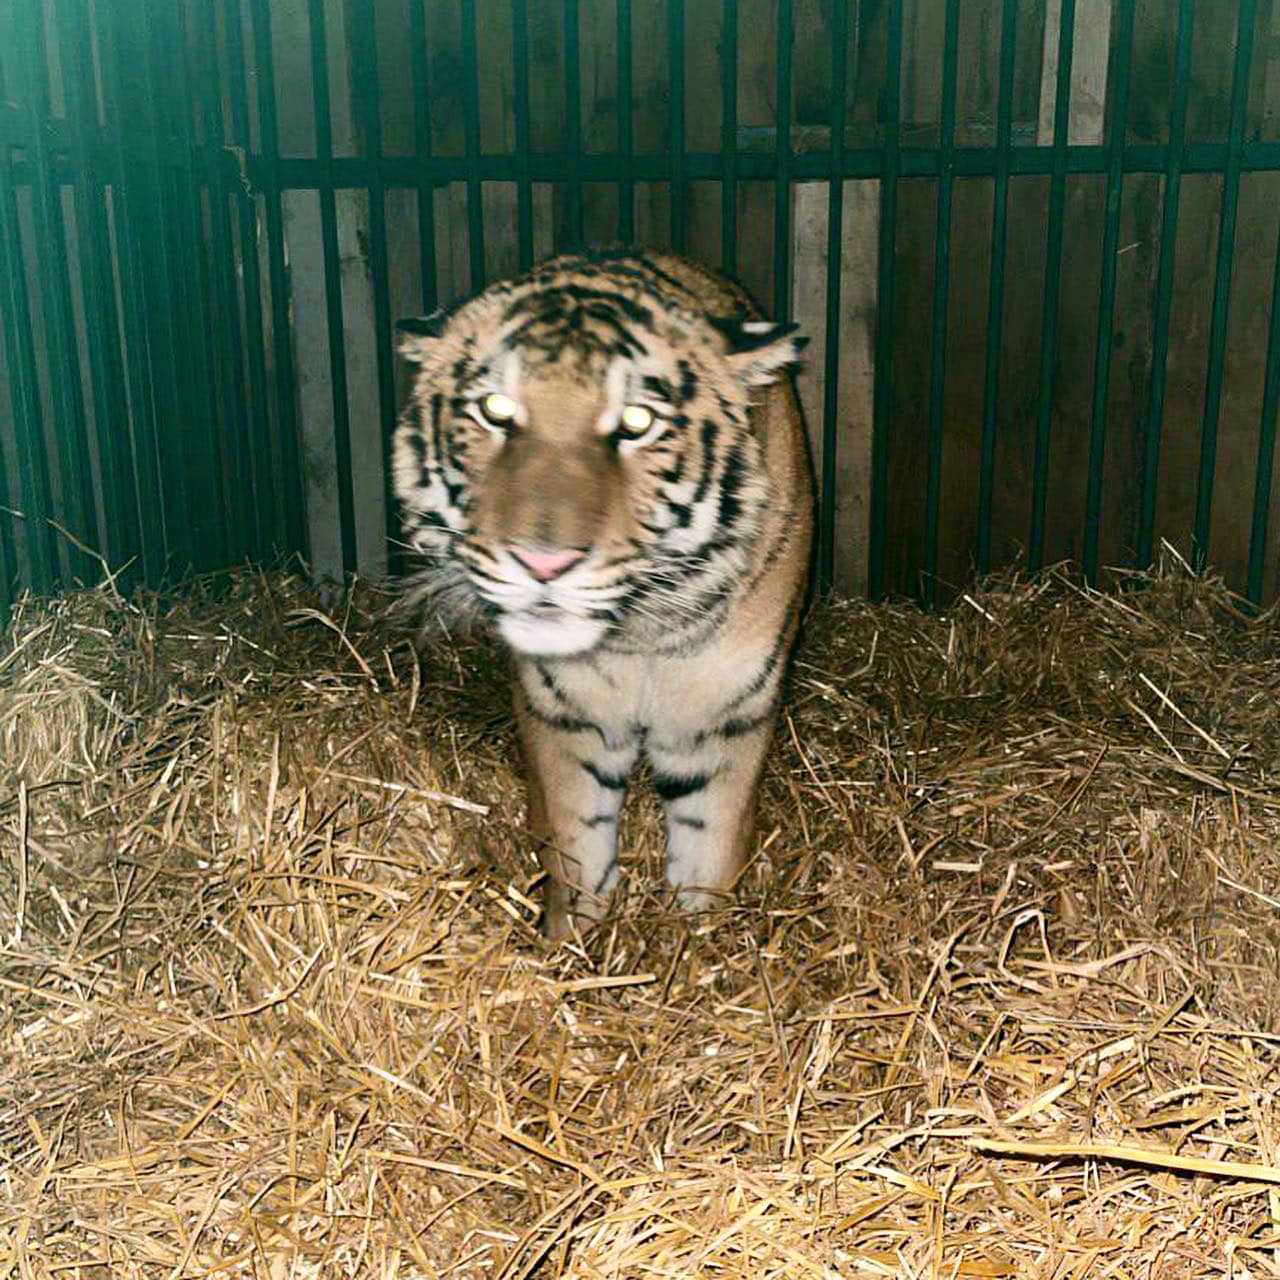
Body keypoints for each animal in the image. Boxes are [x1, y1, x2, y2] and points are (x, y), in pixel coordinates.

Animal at [391, 247, 808, 942]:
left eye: (637, 422)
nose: (543, 562)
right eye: (495, 410)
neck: (642, 632)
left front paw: (706, 948)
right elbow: (576, 845)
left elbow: (710, 852)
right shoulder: (564, 716)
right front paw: (573, 949)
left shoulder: (722, 718)